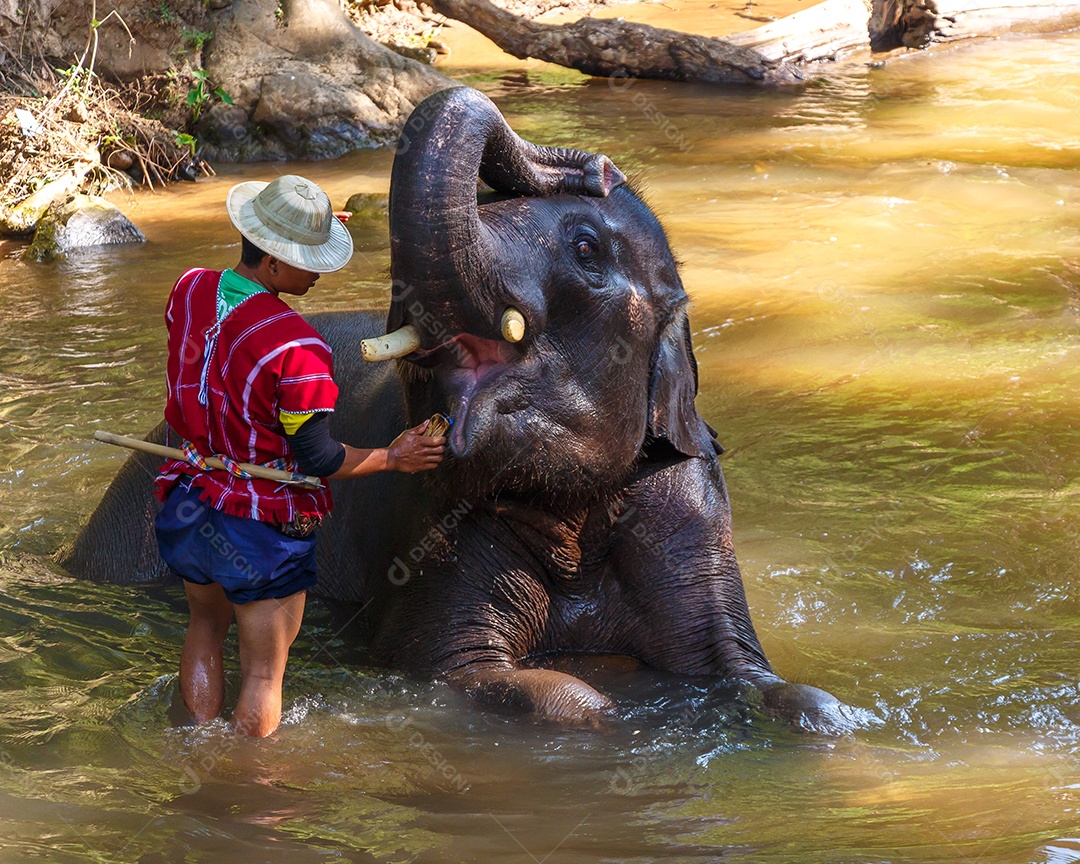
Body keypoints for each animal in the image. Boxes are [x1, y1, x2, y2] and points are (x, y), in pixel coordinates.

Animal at [59, 86, 856, 733]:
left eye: (586, 248)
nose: (600, 167)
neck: (579, 513)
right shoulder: (435, 532)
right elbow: (488, 678)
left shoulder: (689, 514)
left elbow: (752, 674)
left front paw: (837, 722)